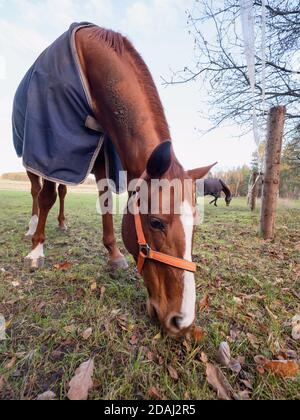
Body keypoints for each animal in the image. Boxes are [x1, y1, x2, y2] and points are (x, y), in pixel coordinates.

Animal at [12, 23, 216, 338]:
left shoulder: (103, 151)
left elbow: (106, 200)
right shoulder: (53, 147)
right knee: (38, 192)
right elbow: (45, 197)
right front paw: (36, 250)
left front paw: (114, 255)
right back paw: (33, 228)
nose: (182, 321)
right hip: (34, 158)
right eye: (155, 222)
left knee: (62, 191)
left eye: (194, 224)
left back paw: (62, 223)